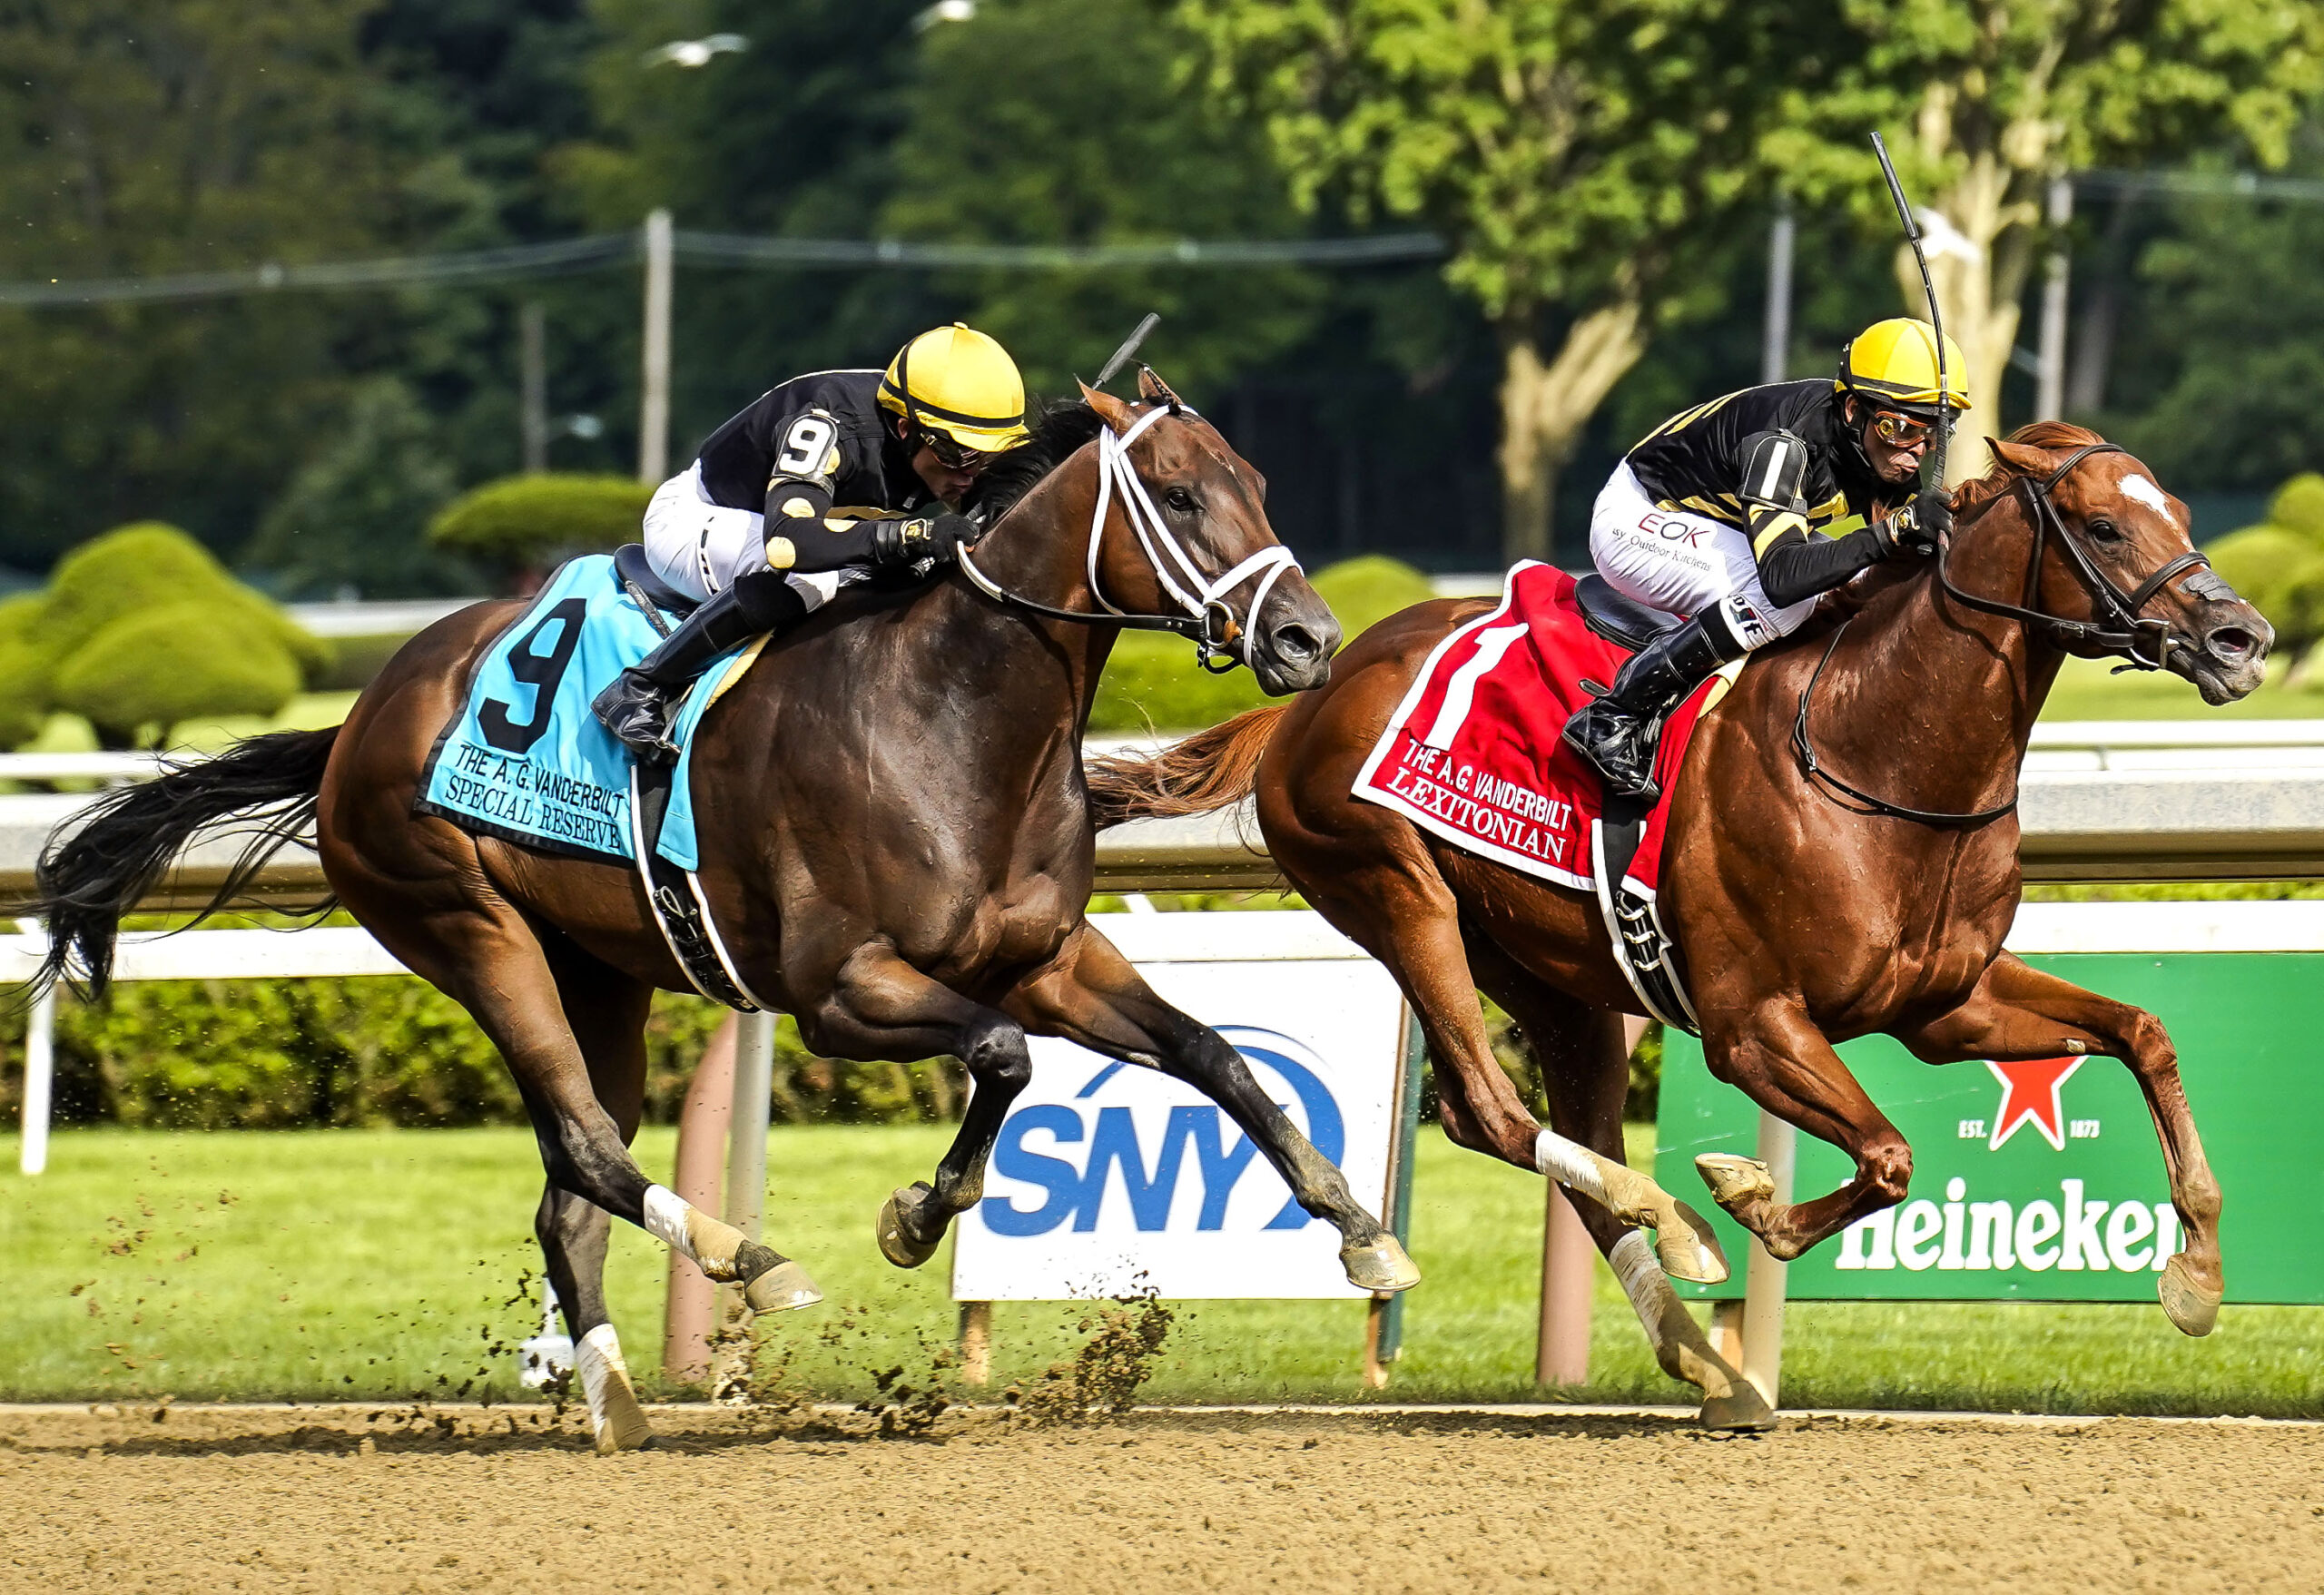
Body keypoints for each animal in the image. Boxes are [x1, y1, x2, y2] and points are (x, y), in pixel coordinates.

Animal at [32, 381, 1413, 1460]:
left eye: (1255, 482)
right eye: (1177, 496)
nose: (1308, 637)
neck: (958, 716)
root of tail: (364, 713)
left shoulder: (1049, 957)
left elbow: (1214, 1055)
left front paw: (1362, 1236)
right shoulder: (841, 991)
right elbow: (1003, 1055)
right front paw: (915, 1215)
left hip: (601, 972)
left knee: (567, 1193)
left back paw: (616, 1400)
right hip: (466, 925)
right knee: (589, 1146)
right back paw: (748, 1258)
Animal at [1088, 420, 2268, 1423]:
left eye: (2177, 511)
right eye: (2105, 525)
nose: (2241, 636)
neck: (1877, 748)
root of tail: (1307, 696)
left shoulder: (1947, 1005)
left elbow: (2141, 1033)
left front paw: (2197, 1271)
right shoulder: (1752, 1026)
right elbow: (1887, 1155)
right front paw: (1746, 1194)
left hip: (1547, 972)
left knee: (1541, 1129)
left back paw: (1702, 1354)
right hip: (1397, 892)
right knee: (1491, 1109)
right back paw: (1682, 1234)